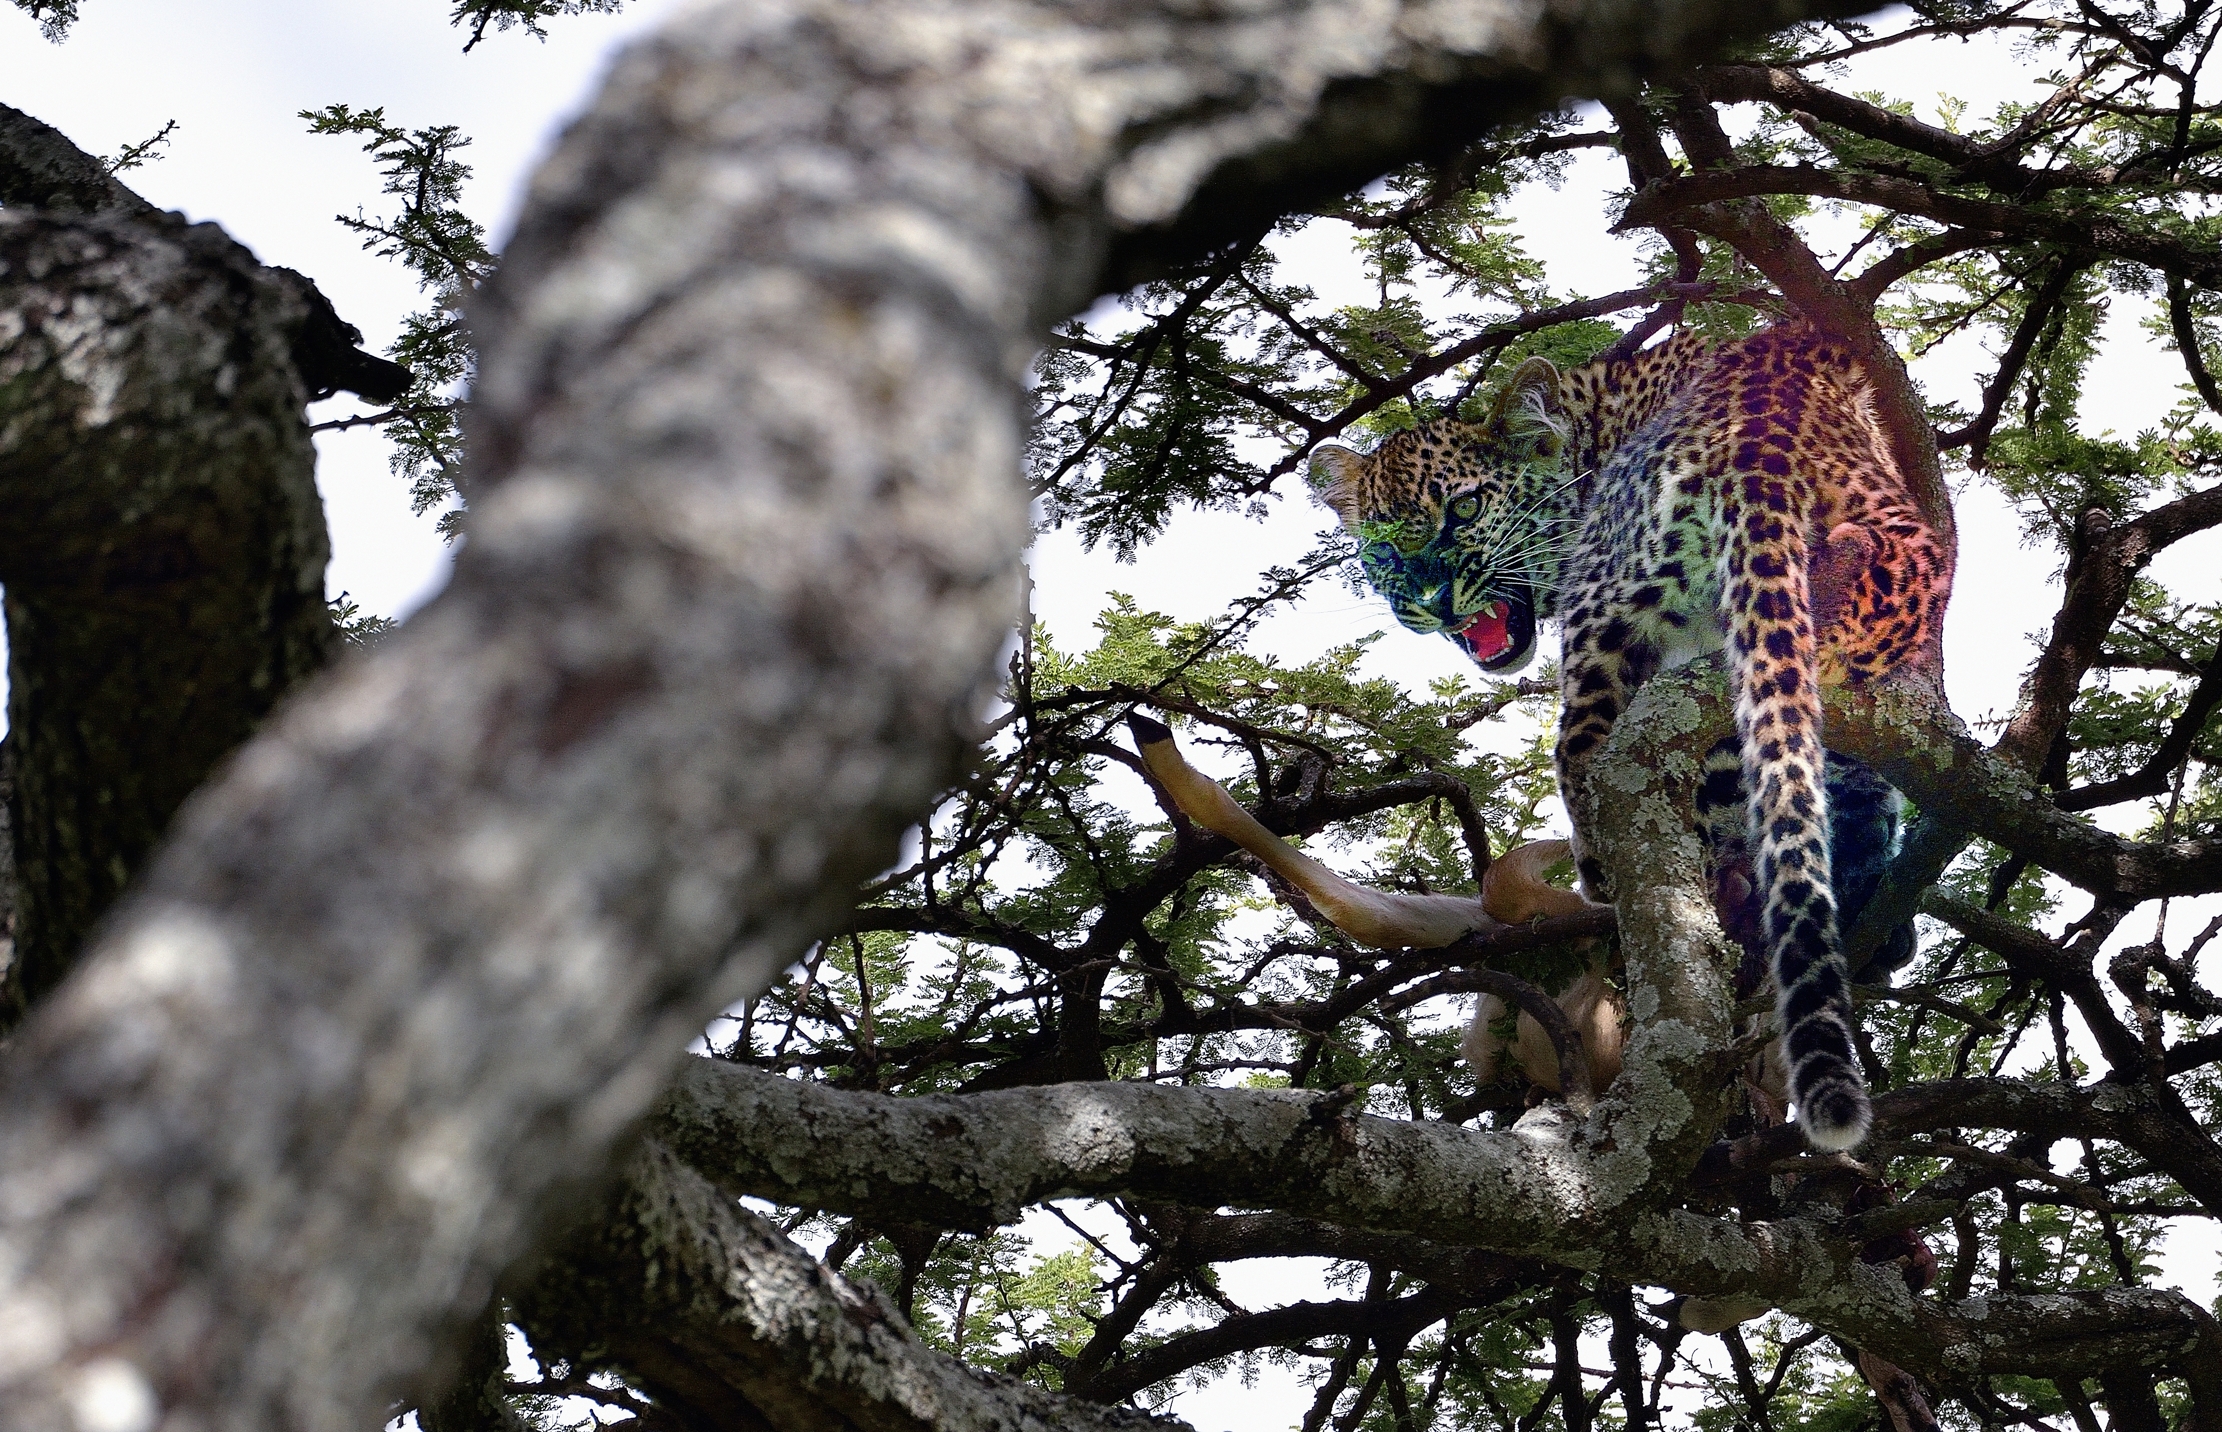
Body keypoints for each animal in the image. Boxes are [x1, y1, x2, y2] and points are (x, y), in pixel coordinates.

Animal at [1308, 324, 1947, 1150]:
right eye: (1383, 545)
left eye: (1465, 509)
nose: (1429, 600)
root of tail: (1760, 441)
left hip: (1614, 600)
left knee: (1593, 752)